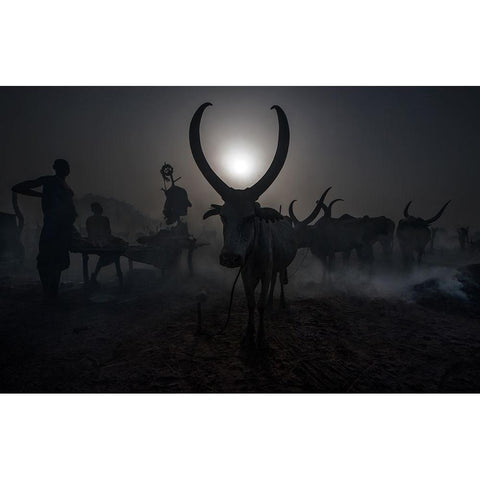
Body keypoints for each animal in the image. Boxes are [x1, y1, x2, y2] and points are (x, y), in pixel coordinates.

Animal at [188, 103, 296, 346]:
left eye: (250, 217)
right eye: (223, 216)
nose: (230, 258)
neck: (253, 251)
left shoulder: (265, 272)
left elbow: (261, 303)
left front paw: (262, 336)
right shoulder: (246, 274)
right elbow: (250, 303)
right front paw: (248, 333)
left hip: (278, 267)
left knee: (277, 282)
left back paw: (280, 302)